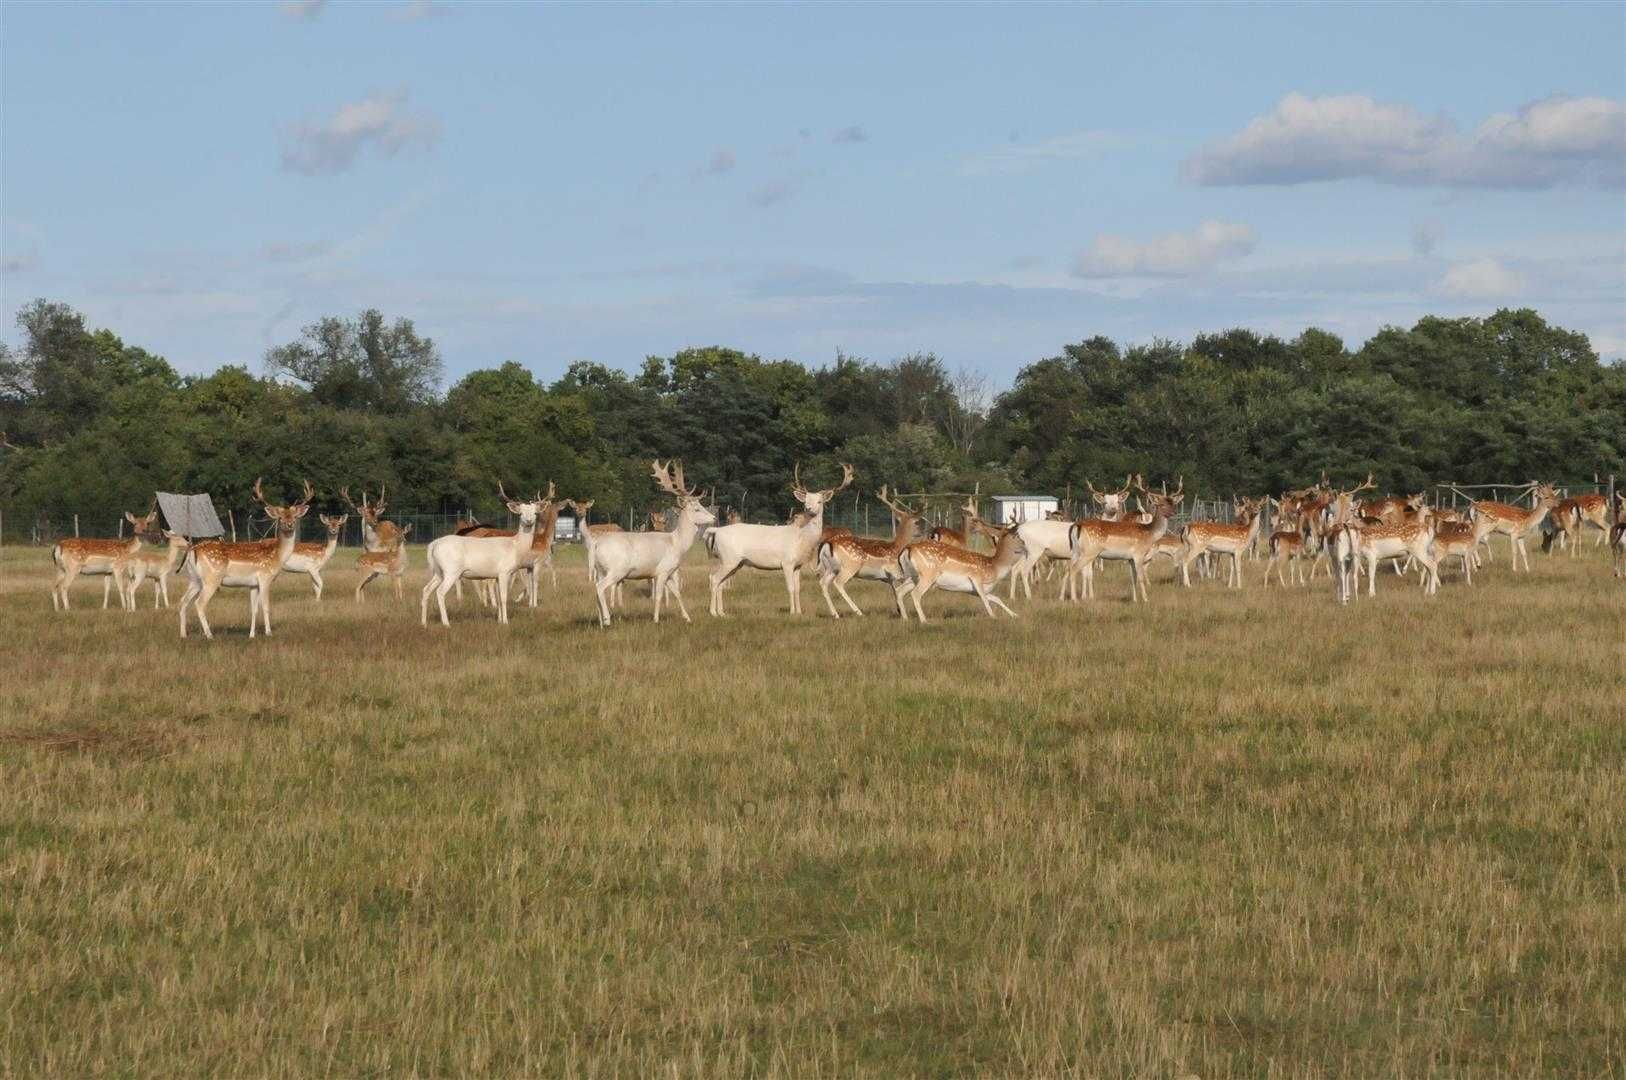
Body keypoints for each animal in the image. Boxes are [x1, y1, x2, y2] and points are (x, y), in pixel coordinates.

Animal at [179, 478, 315, 637]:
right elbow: (266, 606)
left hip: (194, 579)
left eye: (294, 516)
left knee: (183, 602)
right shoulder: (265, 578)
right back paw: (209, 635)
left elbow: (253, 610)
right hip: (212, 578)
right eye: (280, 517)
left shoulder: (253, 584)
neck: (277, 557)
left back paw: (183, 635)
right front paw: (268, 633)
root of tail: (192, 550)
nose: (289, 524)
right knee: (199, 604)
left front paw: (251, 635)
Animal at [419, 484, 546, 627]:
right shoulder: (504, 571)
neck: (515, 547)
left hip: (438, 571)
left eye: (535, 513)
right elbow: (503, 597)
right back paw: (446, 623)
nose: (529, 521)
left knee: (426, 589)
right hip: (451, 570)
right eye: (521, 513)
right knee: (440, 592)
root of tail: (433, 545)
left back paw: (423, 623)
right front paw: (506, 622)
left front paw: (499, 620)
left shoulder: (496, 576)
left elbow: (498, 597)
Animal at [585, 461, 712, 627]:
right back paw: (607, 619)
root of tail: (596, 544)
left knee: (596, 590)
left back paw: (600, 622)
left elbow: (677, 593)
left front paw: (687, 618)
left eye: (702, 505)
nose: (714, 517)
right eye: (697, 509)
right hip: (617, 570)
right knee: (600, 588)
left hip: (600, 569)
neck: (677, 544)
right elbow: (658, 596)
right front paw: (656, 620)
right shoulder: (662, 570)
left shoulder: (669, 572)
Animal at [702, 461, 852, 614]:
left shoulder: (798, 565)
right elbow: (790, 588)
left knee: (720, 583)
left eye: (820, 501)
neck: (801, 539)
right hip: (729, 558)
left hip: (734, 562)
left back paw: (721, 612)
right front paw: (792, 612)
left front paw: (799, 612)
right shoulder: (787, 562)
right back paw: (713, 612)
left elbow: (798, 589)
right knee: (714, 579)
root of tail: (716, 531)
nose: (808, 509)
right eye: (805, 501)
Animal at [819, 484, 923, 621]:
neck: (896, 547)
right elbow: (897, 590)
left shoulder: (887, 578)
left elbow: (894, 592)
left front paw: (899, 611)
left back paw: (835, 614)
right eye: (917, 522)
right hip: (850, 566)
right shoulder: (895, 573)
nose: (922, 532)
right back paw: (858, 612)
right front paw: (900, 612)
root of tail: (827, 544)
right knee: (838, 583)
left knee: (823, 583)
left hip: (830, 568)